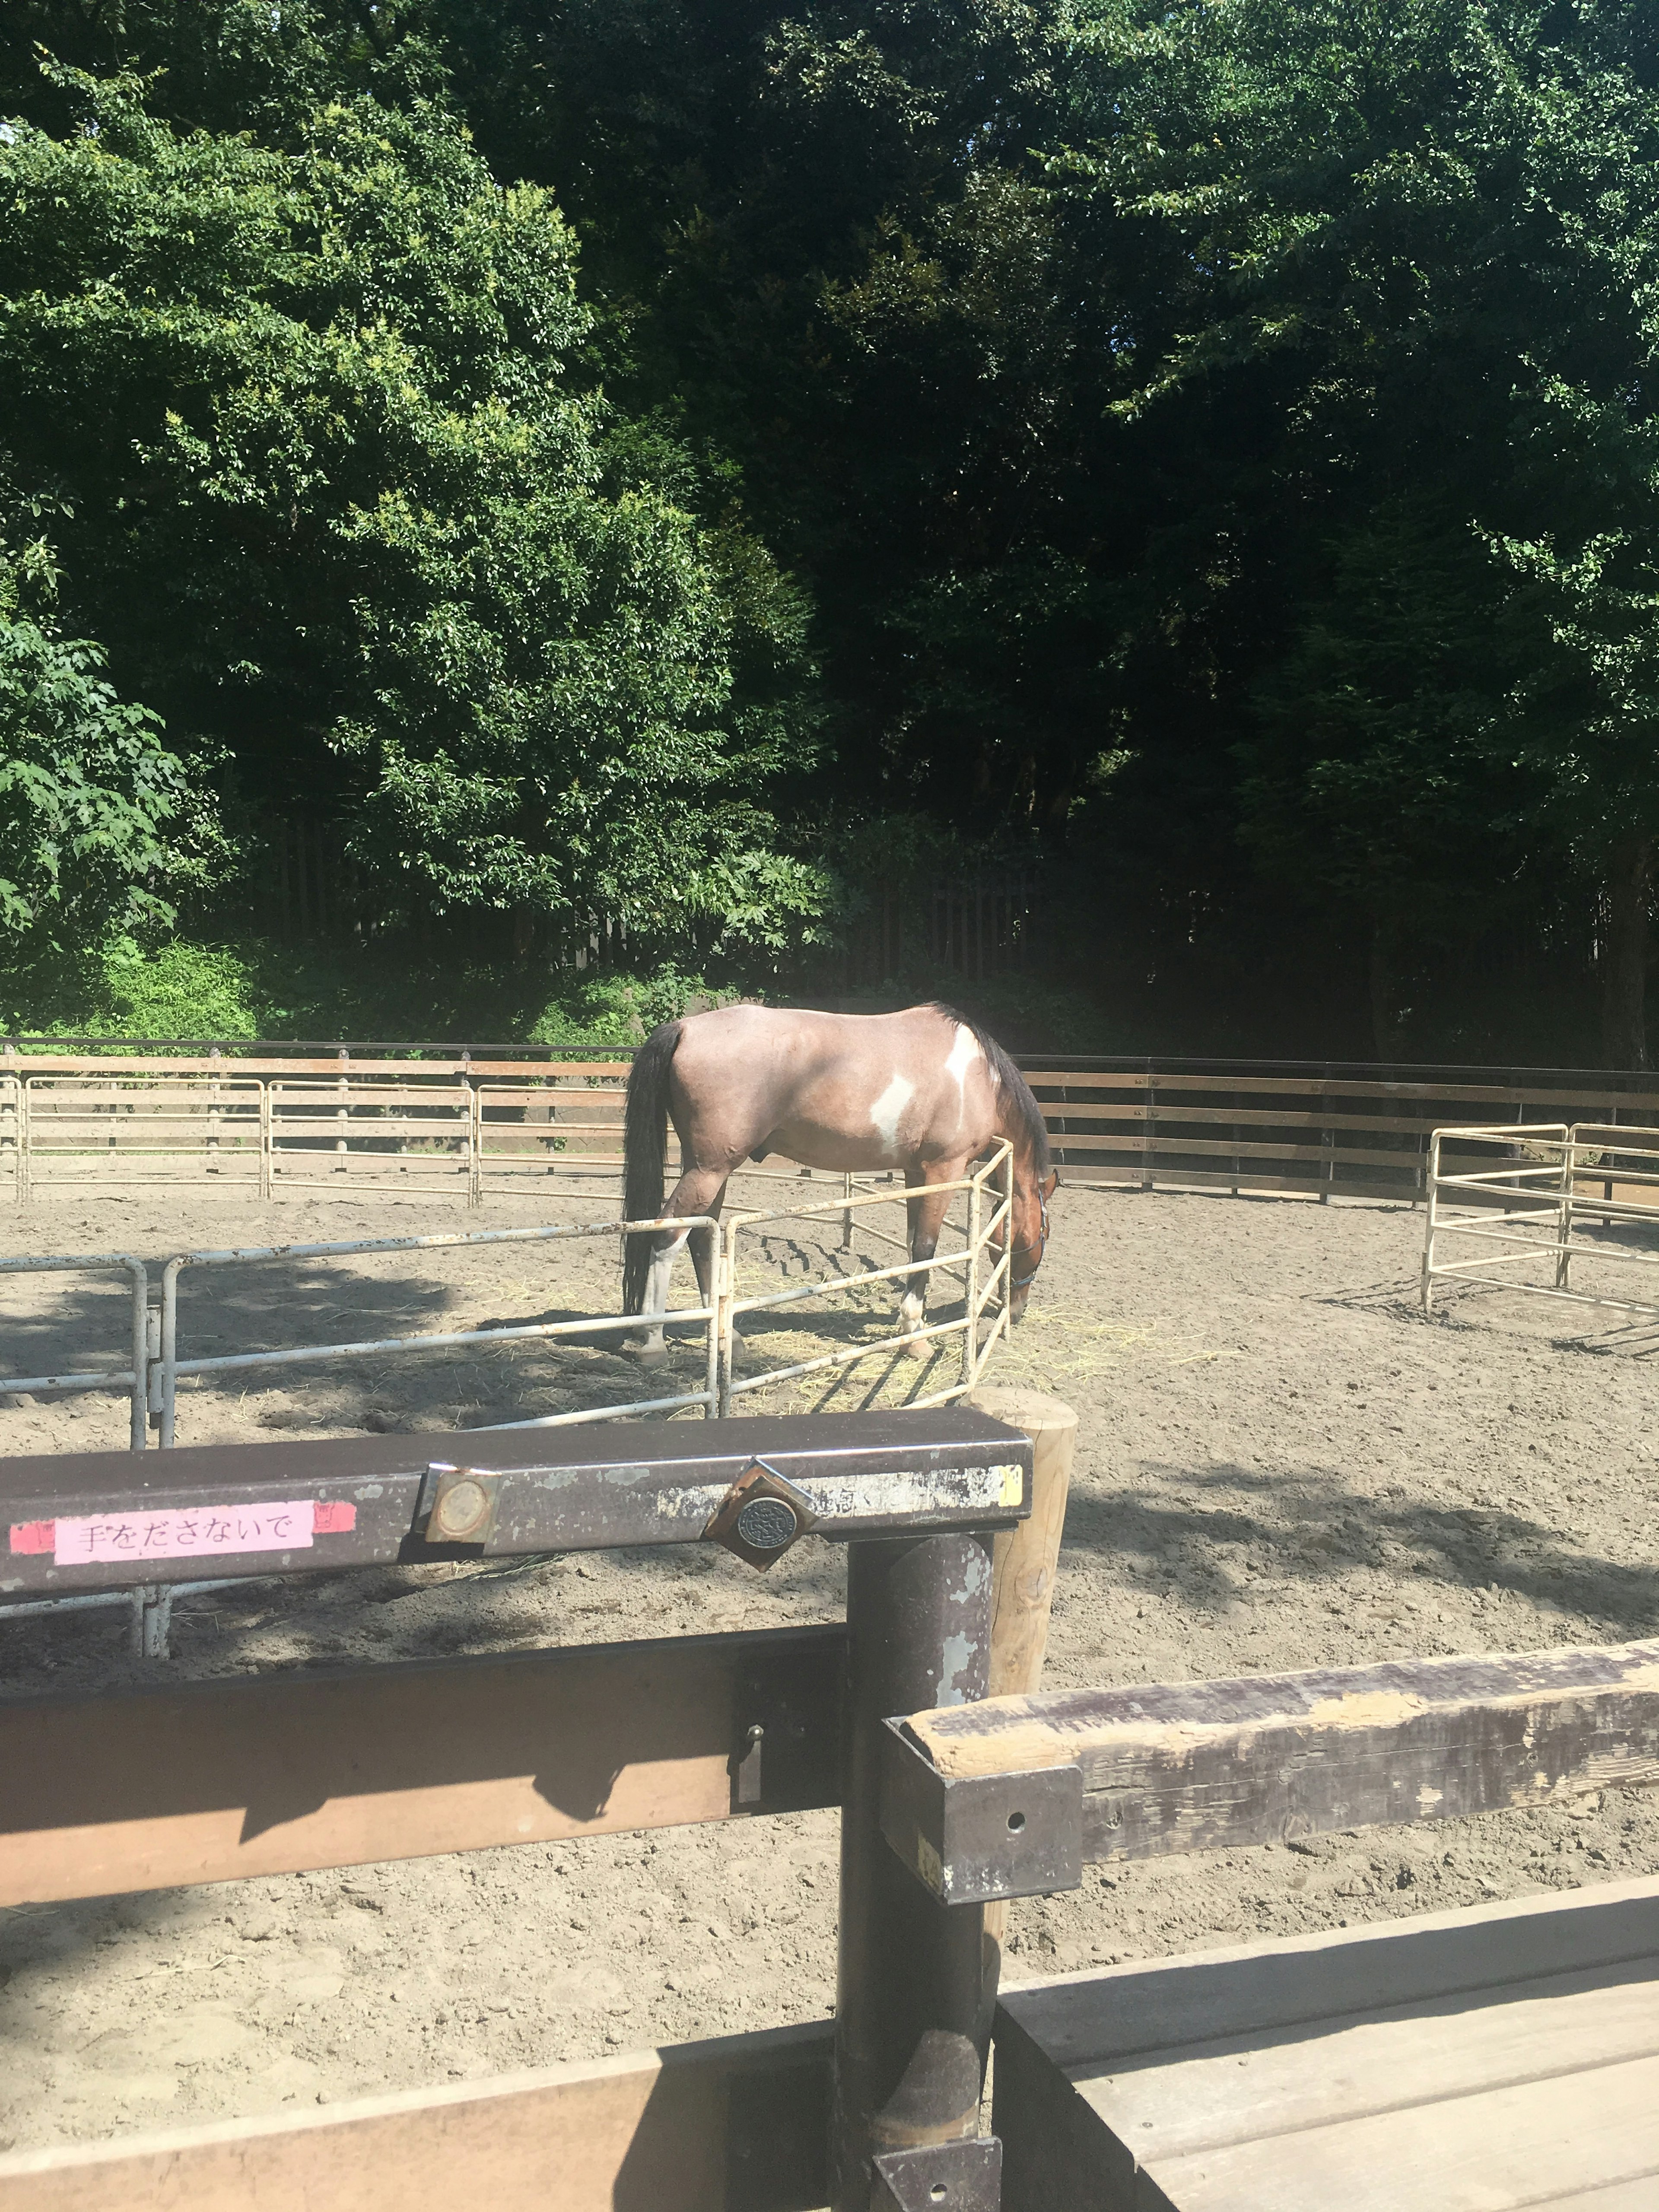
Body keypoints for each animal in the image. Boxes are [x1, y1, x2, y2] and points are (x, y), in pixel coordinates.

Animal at [619, 995, 1057, 1354]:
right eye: (1043, 1234)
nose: (1018, 1310)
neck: (977, 1076)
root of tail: (686, 1028)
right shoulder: (943, 1169)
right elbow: (926, 1248)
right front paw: (914, 1335)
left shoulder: (915, 1173)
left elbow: (913, 1243)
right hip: (708, 1170)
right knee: (667, 1236)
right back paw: (653, 1339)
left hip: (710, 1170)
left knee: (698, 1237)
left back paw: (730, 1339)